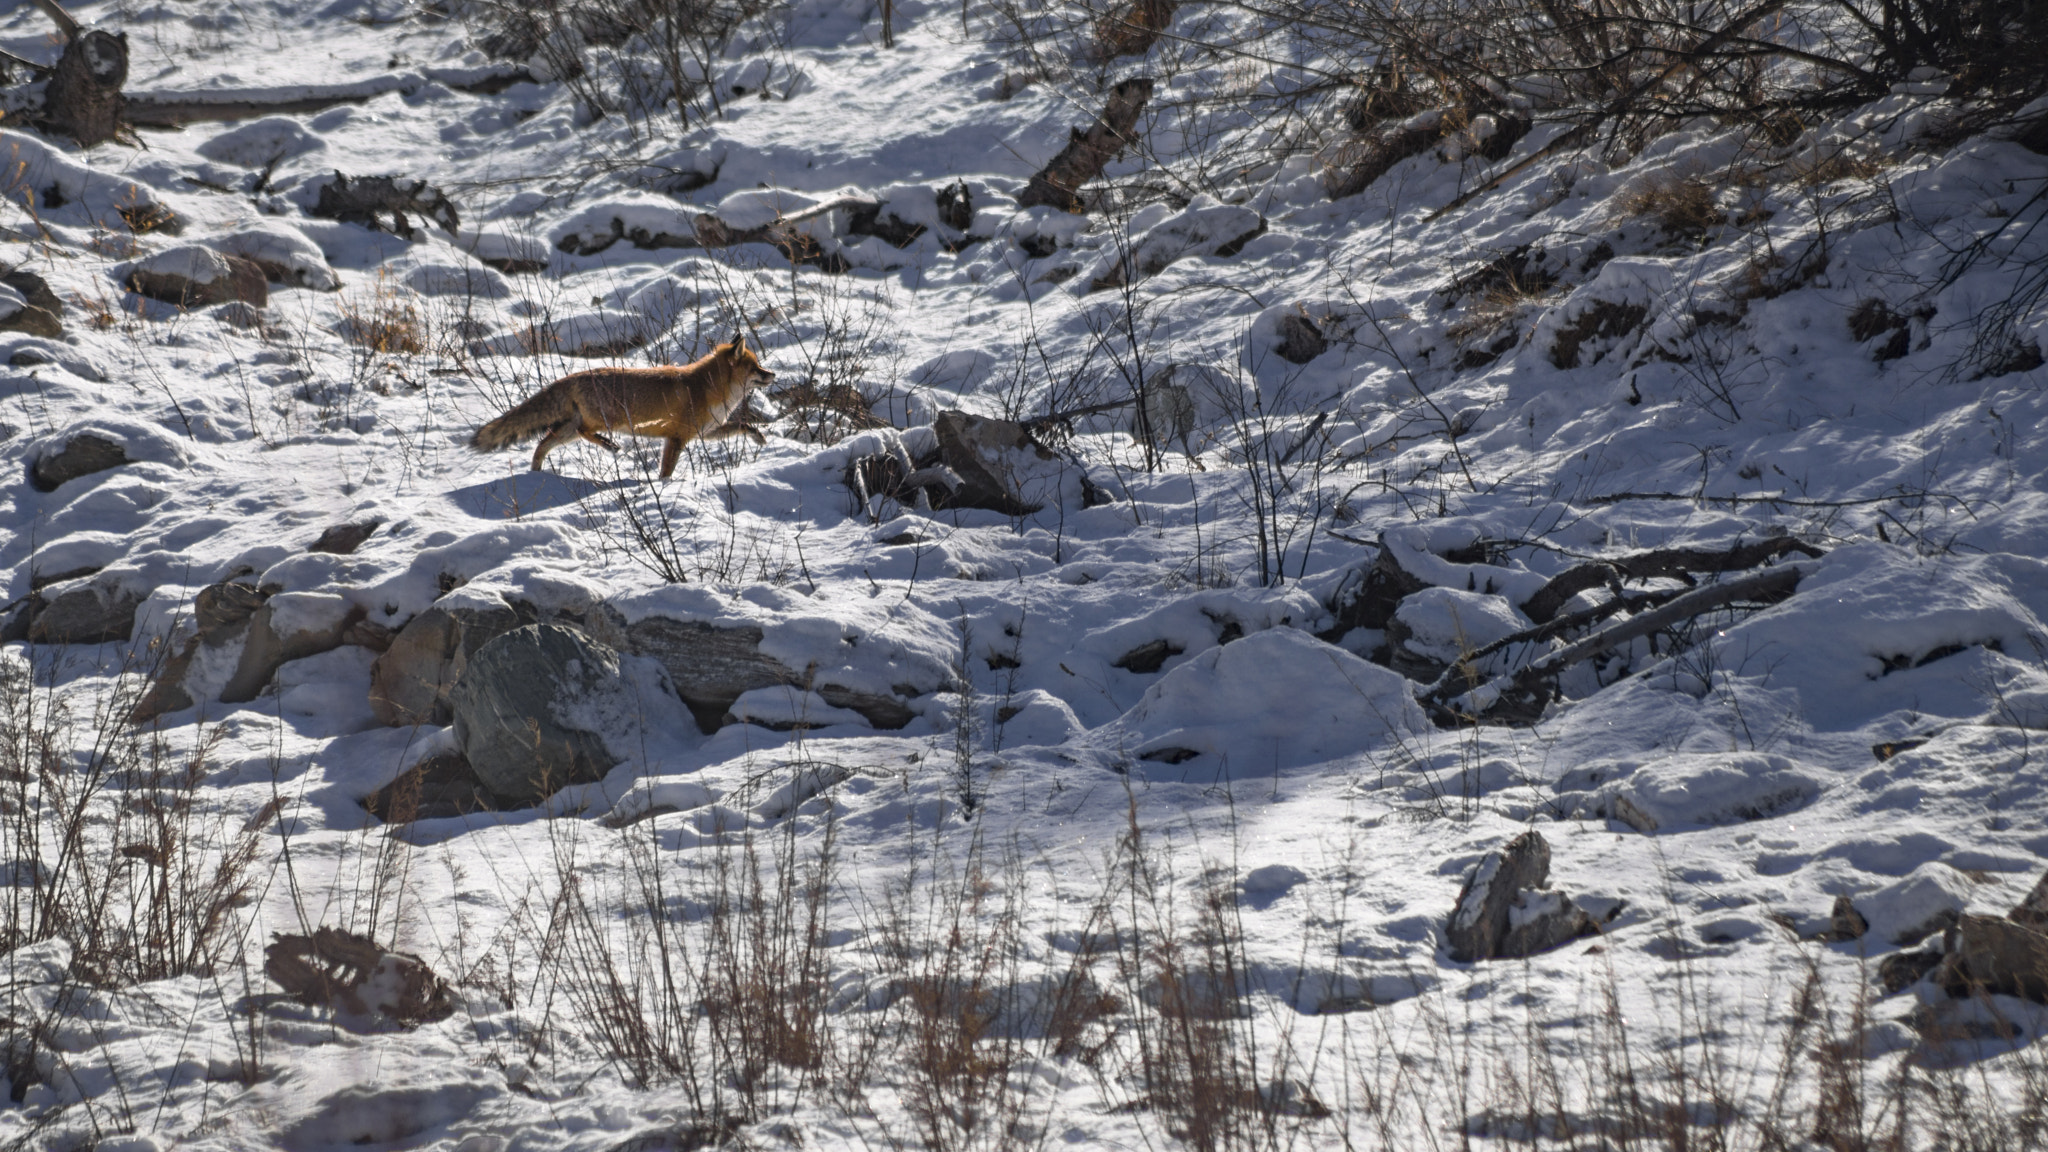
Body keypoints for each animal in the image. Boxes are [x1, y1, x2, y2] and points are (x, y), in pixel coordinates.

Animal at [470, 332, 776, 477]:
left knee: (542, 444)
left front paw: (759, 438)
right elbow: (666, 472)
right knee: (583, 432)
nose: (773, 374)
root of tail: (573, 376)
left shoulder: (705, 432)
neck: (707, 388)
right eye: (756, 367)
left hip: (567, 431)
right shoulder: (678, 438)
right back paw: (609, 445)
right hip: (602, 420)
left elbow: (743, 425)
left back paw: (536, 474)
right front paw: (664, 487)